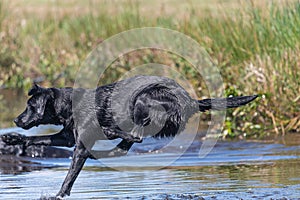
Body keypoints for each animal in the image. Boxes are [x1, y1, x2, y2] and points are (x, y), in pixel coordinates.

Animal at [1, 76, 258, 199]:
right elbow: (35, 140)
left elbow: (69, 178)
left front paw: (59, 195)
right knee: (128, 142)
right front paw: (12, 139)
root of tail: (190, 101)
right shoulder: (67, 138)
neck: (68, 105)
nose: (15, 120)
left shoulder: (79, 147)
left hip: (143, 100)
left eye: (30, 106)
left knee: (135, 136)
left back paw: (111, 134)